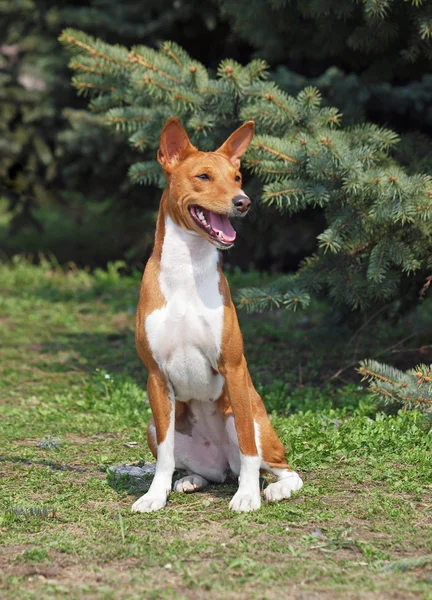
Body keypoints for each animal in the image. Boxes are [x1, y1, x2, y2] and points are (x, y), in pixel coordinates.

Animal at [132, 119, 304, 512]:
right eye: (204, 176)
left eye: (237, 176)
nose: (243, 202)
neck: (187, 272)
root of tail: (222, 464)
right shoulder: (155, 377)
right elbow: (165, 456)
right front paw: (155, 495)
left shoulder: (233, 367)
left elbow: (248, 448)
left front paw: (248, 496)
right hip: (154, 424)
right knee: (205, 470)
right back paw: (190, 480)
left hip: (256, 420)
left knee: (278, 466)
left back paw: (273, 488)